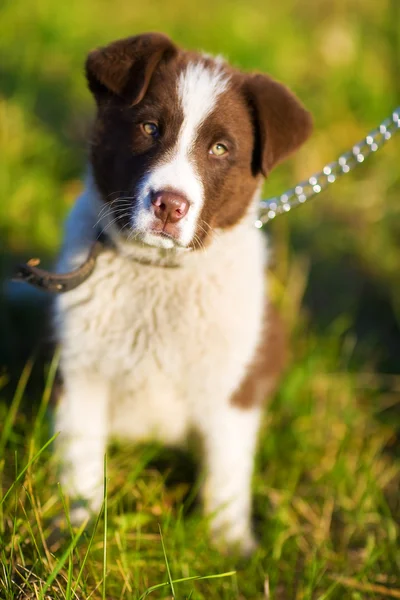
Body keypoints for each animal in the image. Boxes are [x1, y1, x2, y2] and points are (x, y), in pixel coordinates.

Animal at [54, 32, 312, 556]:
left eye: (220, 148)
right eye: (149, 127)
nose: (169, 206)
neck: (159, 274)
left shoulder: (234, 386)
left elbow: (227, 472)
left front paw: (228, 547)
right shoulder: (81, 372)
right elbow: (80, 457)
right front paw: (77, 530)